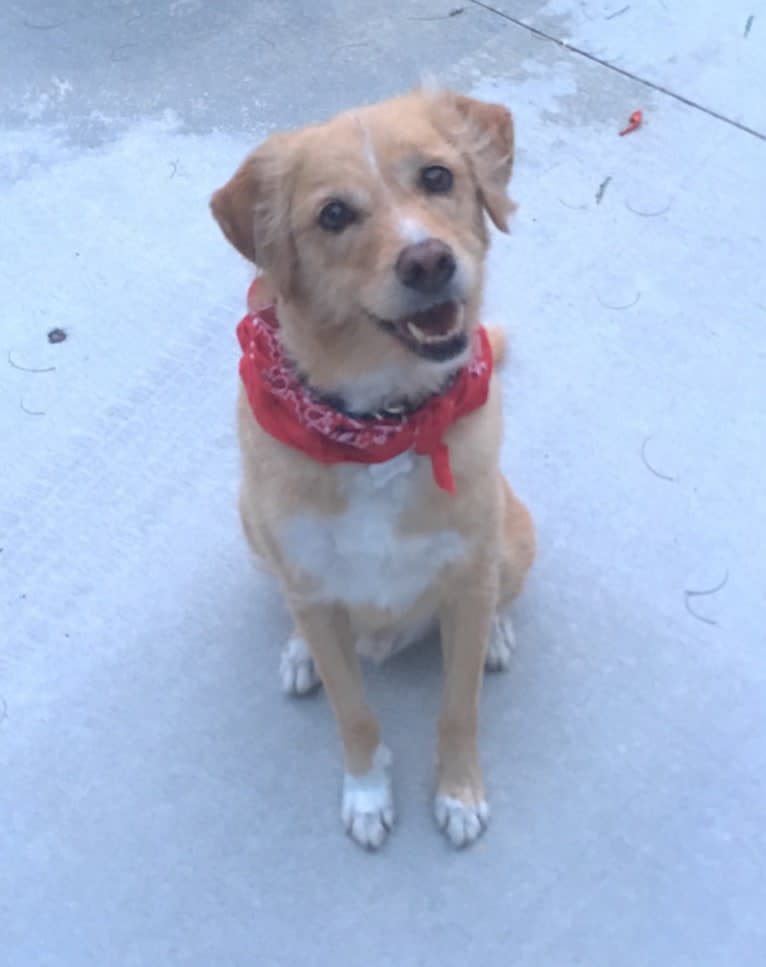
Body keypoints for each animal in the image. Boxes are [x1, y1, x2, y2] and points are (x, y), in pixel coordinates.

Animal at [208, 87, 536, 852]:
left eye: (438, 177)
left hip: (515, 534)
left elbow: (460, 706)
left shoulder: (467, 575)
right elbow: (353, 712)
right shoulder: (314, 587)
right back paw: (299, 650)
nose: (428, 263)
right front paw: (365, 793)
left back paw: (499, 634)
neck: (383, 423)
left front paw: (458, 792)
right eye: (334, 215)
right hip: (251, 524)